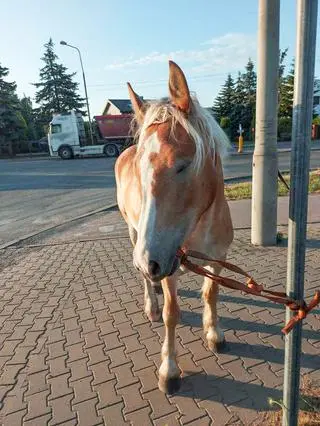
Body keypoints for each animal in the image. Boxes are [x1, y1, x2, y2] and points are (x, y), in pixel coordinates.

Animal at [115, 61, 232, 394]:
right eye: (140, 169)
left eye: (183, 164)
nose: (150, 262)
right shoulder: (167, 261)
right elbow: (172, 314)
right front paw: (169, 370)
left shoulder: (218, 258)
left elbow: (211, 294)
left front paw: (214, 333)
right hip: (136, 235)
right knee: (144, 279)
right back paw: (151, 303)